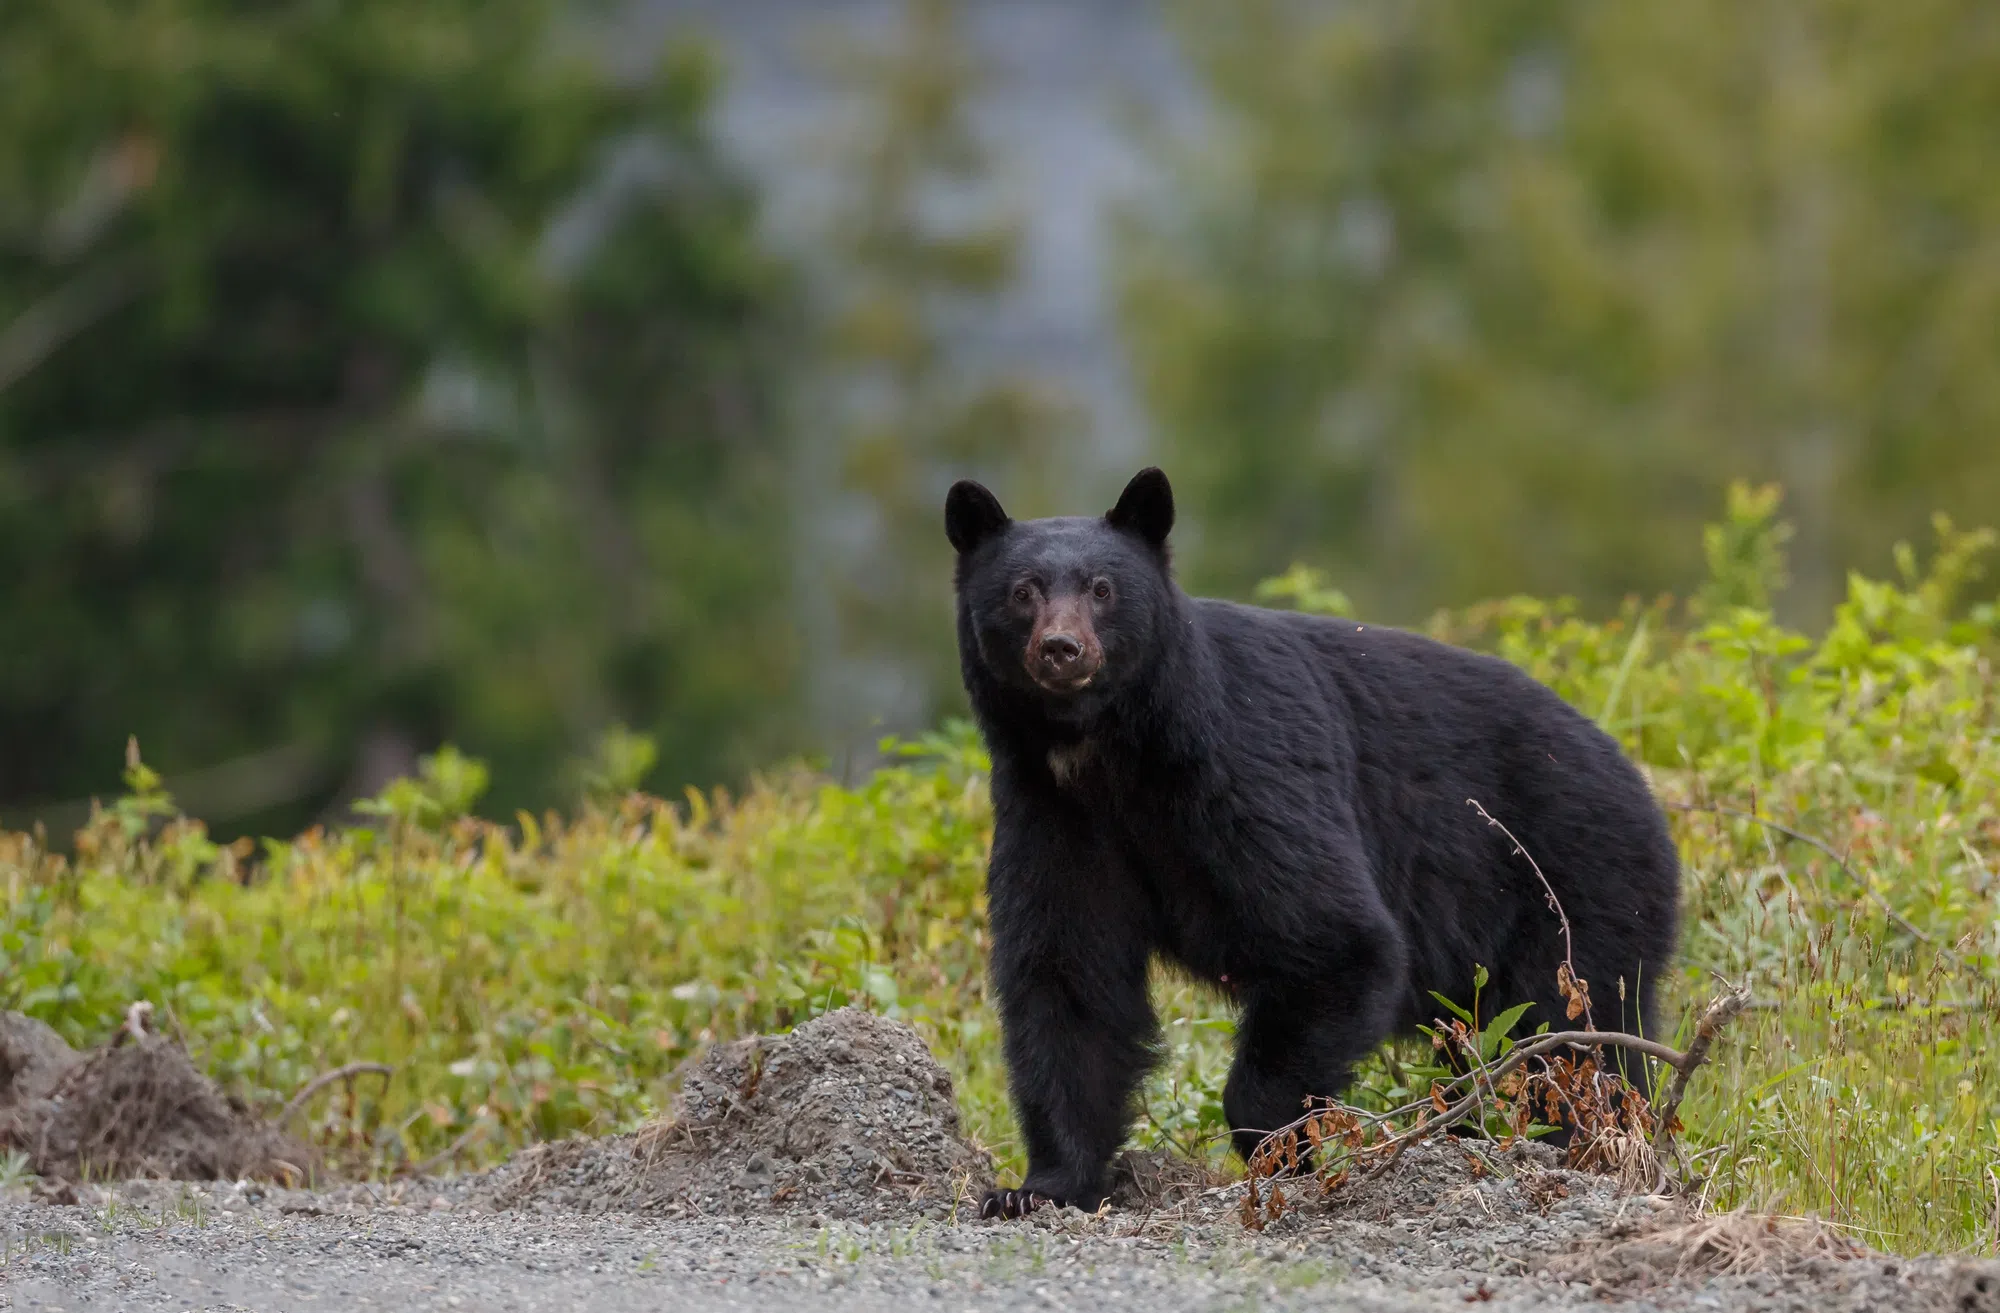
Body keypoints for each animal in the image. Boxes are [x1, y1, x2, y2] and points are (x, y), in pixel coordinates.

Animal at [952, 466, 1688, 1216]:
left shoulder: (1248, 768)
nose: (1061, 649)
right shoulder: (1055, 815)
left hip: (1571, 888)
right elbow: (1069, 980)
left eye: (1103, 589)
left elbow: (1333, 939)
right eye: (1022, 591)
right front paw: (1037, 1187)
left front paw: (1280, 1151)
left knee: (1563, 1038)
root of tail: (1642, 786)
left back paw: (1576, 1144)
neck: (1113, 754)